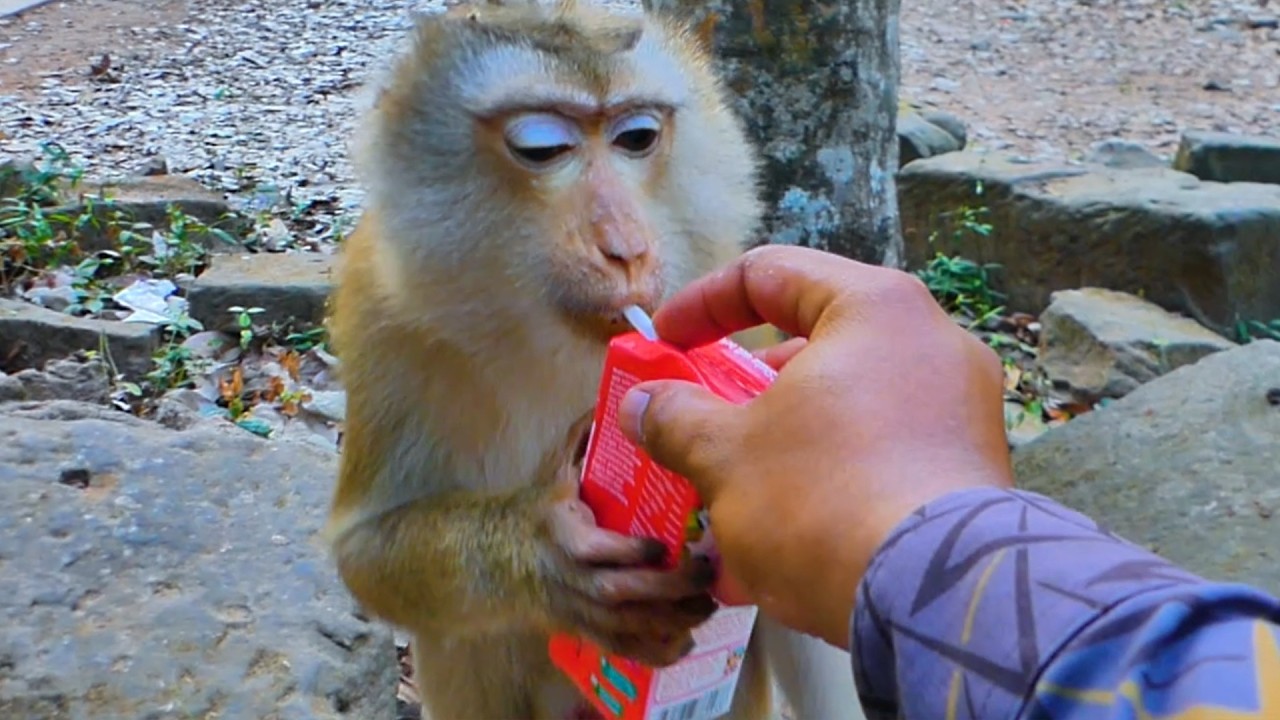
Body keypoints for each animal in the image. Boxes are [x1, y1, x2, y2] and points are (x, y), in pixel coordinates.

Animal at [323, 1, 866, 718]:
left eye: (636, 137)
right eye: (542, 148)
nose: (625, 249)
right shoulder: (380, 315)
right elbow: (367, 550)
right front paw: (551, 556)